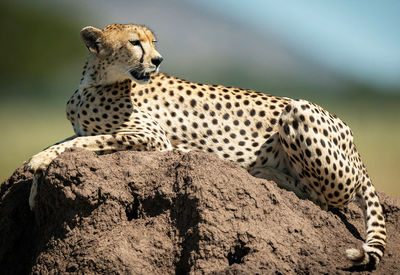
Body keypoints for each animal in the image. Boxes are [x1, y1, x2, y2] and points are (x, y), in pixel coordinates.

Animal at [26, 23, 386, 270]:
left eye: (153, 42)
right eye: (134, 42)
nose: (157, 59)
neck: (96, 80)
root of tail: (354, 144)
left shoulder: (152, 137)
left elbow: (84, 142)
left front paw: (40, 164)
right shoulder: (91, 128)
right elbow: (66, 140)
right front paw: (34, 182)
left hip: (299, 110)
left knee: (328, 199)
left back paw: (262, 173)